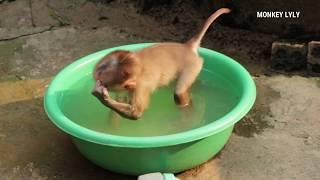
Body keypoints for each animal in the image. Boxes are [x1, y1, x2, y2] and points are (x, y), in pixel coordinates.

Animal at [91, 7, 231, 119]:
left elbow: (136, 114)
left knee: (179, 92)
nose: (96, 79)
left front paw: (102, 97)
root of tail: (187, 47)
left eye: (102, 80)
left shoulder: (140, 87)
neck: (139, 69)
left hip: (192, 65)